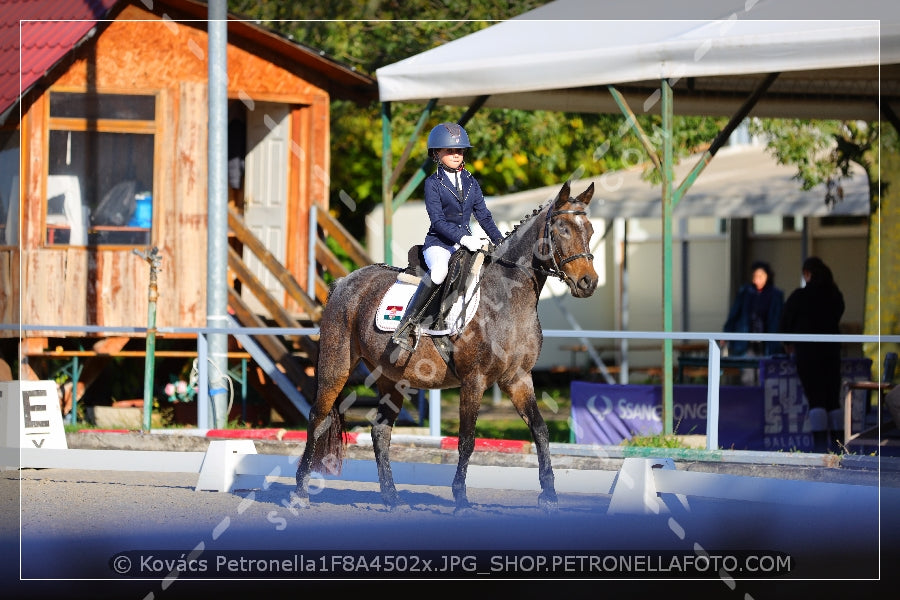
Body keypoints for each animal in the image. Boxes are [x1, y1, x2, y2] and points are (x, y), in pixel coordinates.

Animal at [296, 182, 600, 510]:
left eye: (591, 229)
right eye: (562, 230)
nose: (589, 283)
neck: (507, 298)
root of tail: (343, 282)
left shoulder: (518, 379)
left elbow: (540, 430)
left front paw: (549, 495)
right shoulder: (474, 380)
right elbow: (466, 440)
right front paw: (461, 499)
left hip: (392, 377)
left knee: (380, 431)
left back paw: (391, 497)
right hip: (336, 365)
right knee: (318, 418)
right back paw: (300, 492)